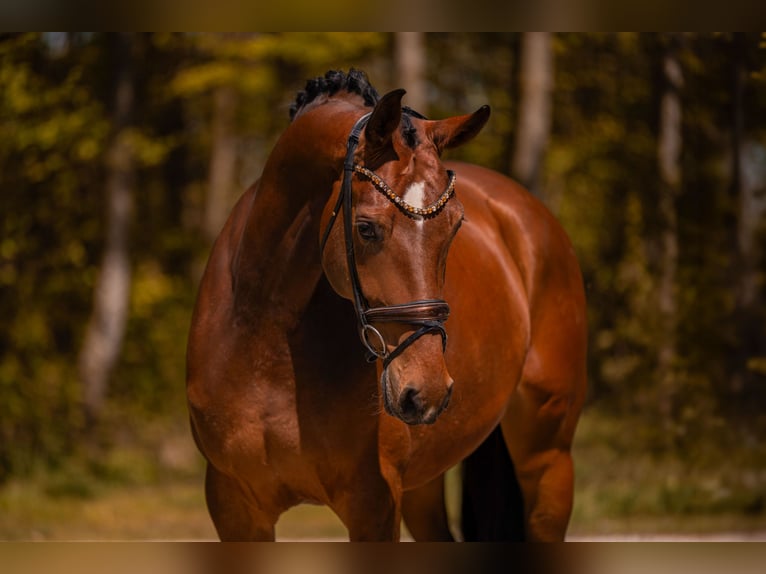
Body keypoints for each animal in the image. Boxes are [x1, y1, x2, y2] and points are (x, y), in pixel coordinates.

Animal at [186, 69, 587, 541]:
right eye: (365, 228)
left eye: (456, 227)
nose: (427, 391)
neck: (265, 337)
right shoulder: (234, 506)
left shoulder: (373, 505)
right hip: (424, 484)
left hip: (549, 459)